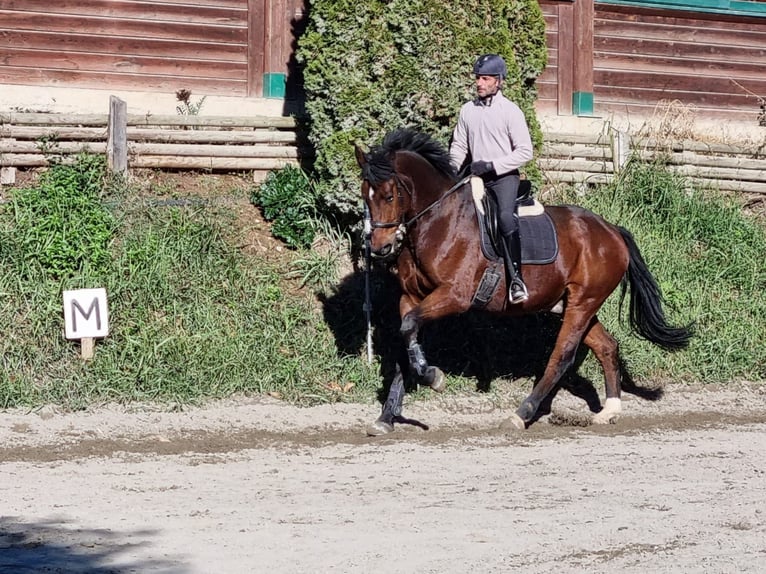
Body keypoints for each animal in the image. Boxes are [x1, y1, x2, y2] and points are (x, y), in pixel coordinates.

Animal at [356, 129, 692, 436]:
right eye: (365, 195)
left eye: (389, 195)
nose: (380, 247)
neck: (437, 222)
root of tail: (611, 231)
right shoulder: (411, 297)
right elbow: (405, 336)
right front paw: (386, 417)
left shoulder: (455, 295)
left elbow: (410, 327)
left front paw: (432, 377)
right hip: (576, 304)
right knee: (607, 346)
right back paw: (609, 410)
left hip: (582, 303)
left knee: (561, 356)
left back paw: (522, 413)